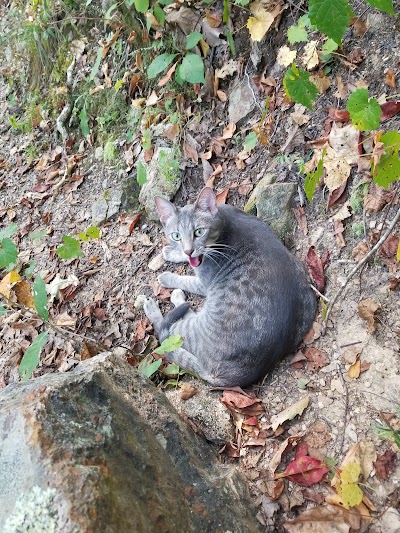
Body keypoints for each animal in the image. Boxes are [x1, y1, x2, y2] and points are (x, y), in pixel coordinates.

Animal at [143, 187, 316, 386]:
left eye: (199, 232)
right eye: (176, 236)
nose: (188, 250)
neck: (225, 223)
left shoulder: (205, 282)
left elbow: (187, 279)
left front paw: (169, 276)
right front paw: (174, 252)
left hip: (190, 330)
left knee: (164, 332)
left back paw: (156, 304)